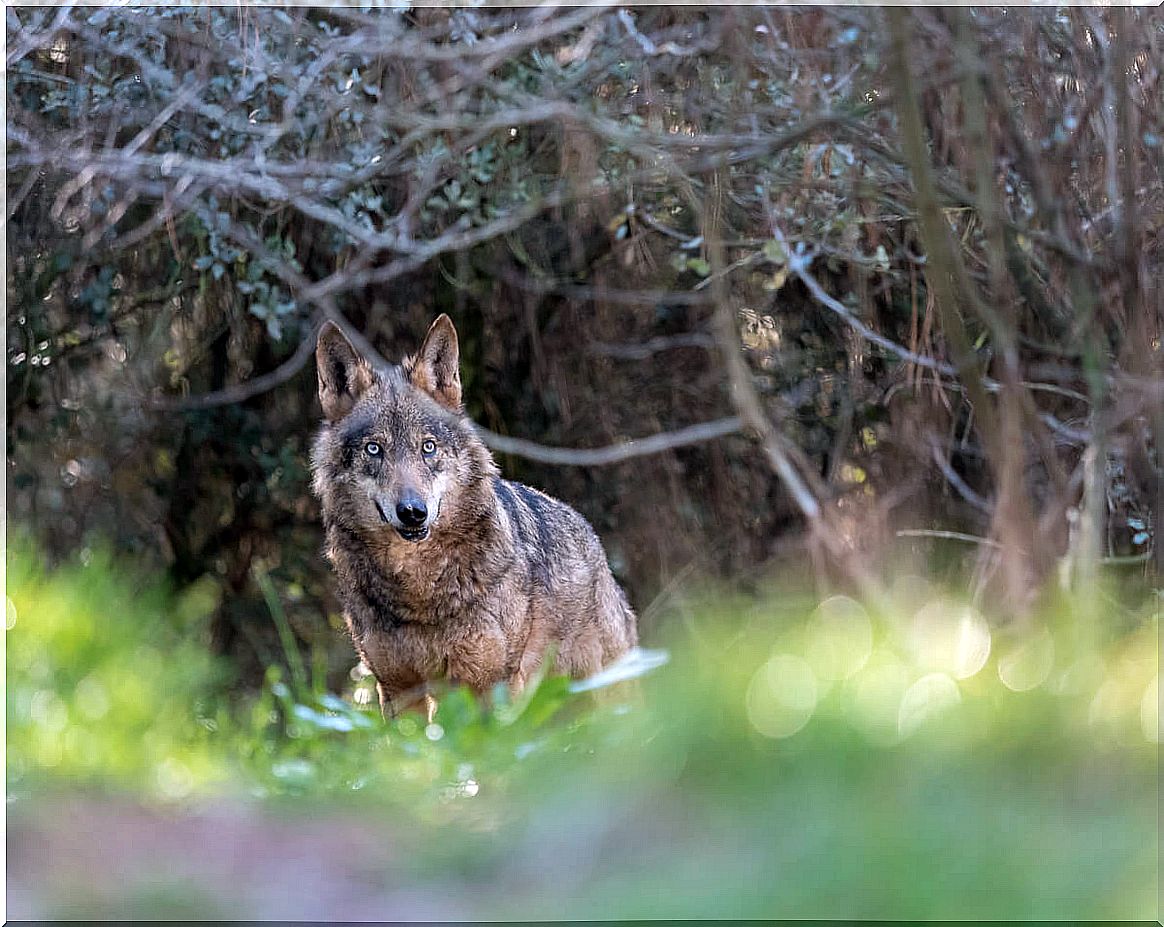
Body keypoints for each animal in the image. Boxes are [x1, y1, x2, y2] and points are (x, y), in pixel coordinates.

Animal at [309, 312, 637, 717]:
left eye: (428, 447)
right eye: (374, 449)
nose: (413, 512)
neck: (419, 591)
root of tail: (594, 542)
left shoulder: (491, 683)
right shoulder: (398, 689)